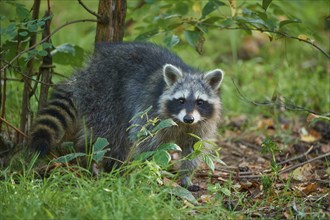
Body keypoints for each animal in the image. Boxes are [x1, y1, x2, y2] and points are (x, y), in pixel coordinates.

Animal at [29, 41, 224, 189]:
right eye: (181, 100)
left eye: (200, 102)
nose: (188, 118)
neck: (181, 123)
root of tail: (87, 71)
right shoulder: (151, 113)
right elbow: (147, 145)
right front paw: (151, 172)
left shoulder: (201, 124)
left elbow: (194, 149)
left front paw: (186, 176)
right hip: (103, 95)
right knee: (110, 136)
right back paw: (105, 166)